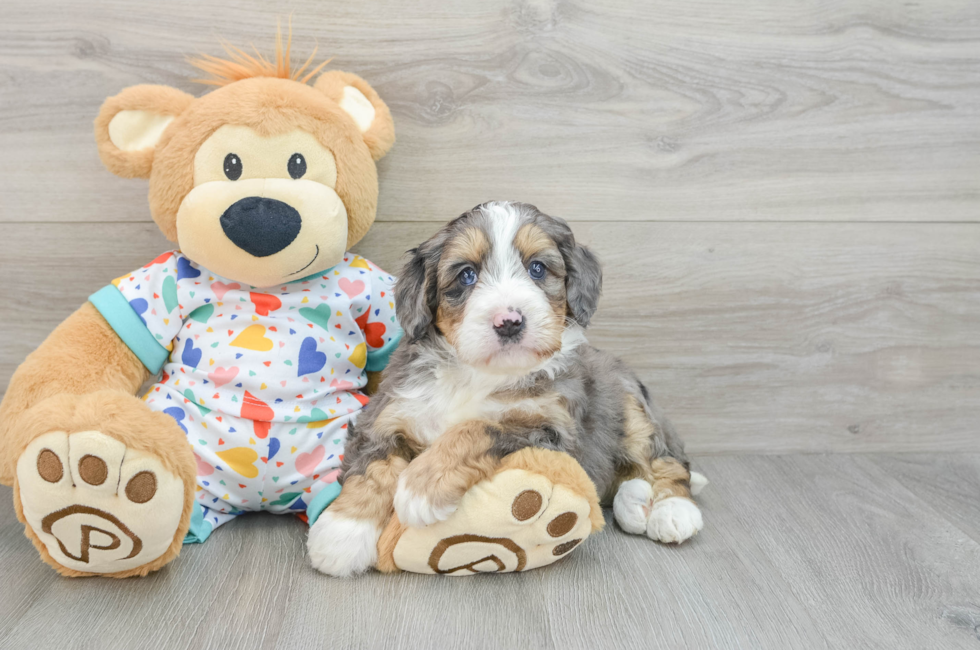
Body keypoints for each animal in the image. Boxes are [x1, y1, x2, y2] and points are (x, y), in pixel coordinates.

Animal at [310, 200, 700, 576]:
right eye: (467, 274)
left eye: (537, 269)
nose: (509, 321)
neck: (477, 373)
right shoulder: (387, 412)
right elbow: (372, 468)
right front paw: (341, 534)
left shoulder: (550, 431)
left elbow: (478, 427)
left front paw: (421, 487)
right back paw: (634, 501)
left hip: (630, 402)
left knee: (666, 461)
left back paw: (673, 510)